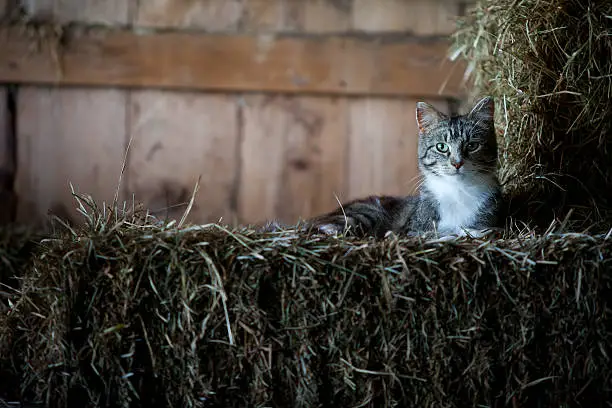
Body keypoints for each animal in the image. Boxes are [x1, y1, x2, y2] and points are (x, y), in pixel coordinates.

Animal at [302, 96, 502, 239]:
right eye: (441, 147)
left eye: (472, 146)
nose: (457, 163)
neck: (458, 191)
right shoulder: (412, 229)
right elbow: (434, 232)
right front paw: (462, 232)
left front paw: (474, 231)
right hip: (366, 213)